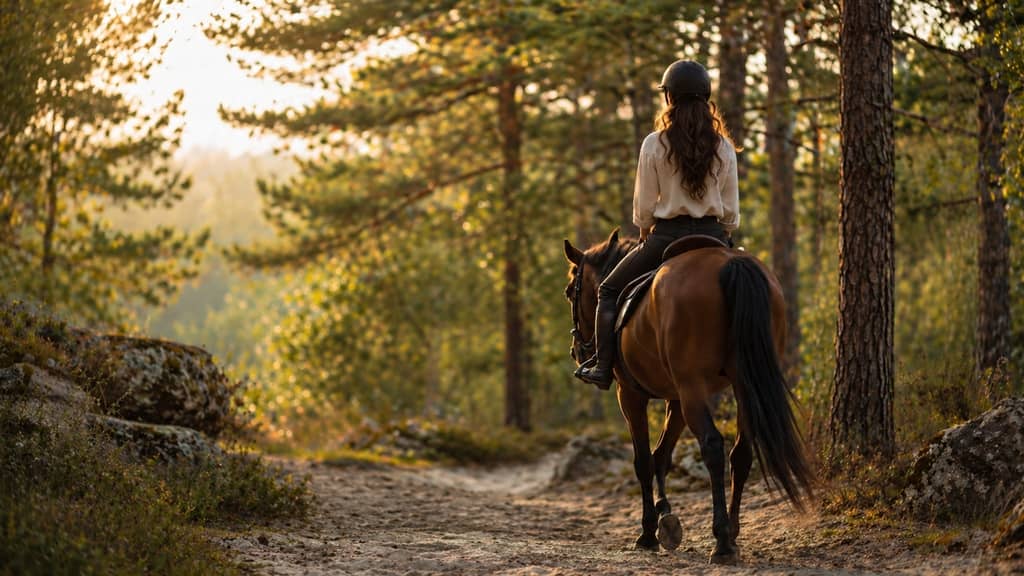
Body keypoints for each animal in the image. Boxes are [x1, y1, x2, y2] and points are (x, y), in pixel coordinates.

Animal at [563, 228, 814, 564]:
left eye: (570, 292)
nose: (577, 352)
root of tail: (730, 263)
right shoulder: (677, 399)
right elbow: (662, 456)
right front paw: (666, 519)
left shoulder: (630, 395)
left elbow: (643, 461)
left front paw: (648, 533)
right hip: (741, 384)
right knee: (741, 454)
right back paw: (733, 532)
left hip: (693, 387)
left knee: (712, 446)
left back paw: (721, 542)